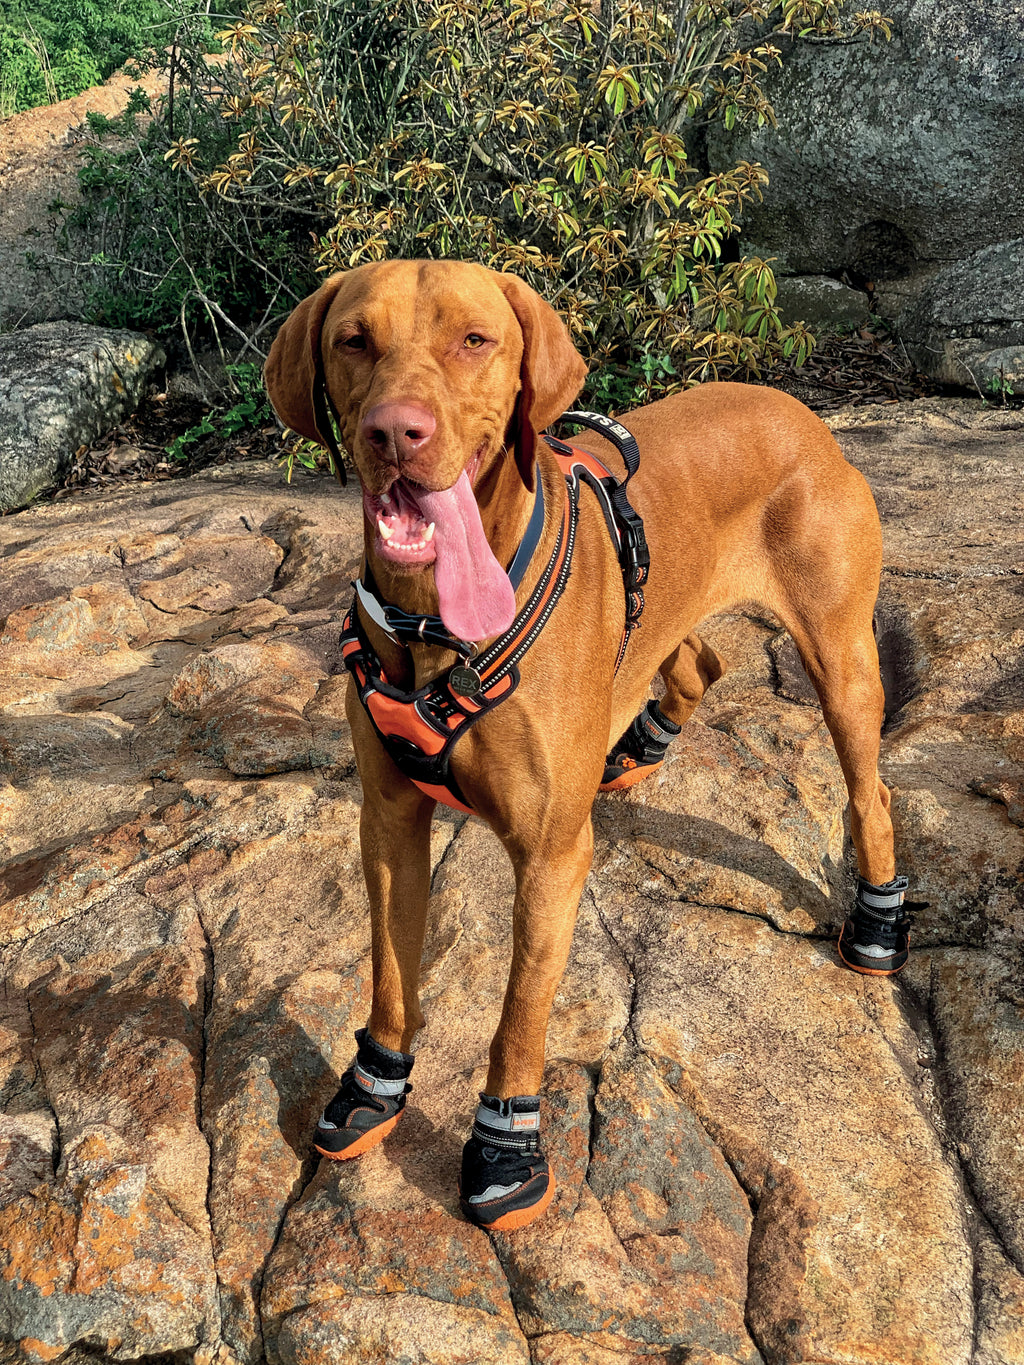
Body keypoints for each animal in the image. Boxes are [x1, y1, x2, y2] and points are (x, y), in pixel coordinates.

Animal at [266, 260, 912, 1233]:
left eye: (474, 340)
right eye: (354, 339)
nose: (394, 432)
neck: (434, 626)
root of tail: (800, 409)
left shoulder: (550, 856)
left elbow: (520, 1010)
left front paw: (507, 1146)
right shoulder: (389, 820)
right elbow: (389, 969)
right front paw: (374, 1084)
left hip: (841, 658)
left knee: (869, 785)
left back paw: (876, 917)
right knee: (696, 659)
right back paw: (638, 740)